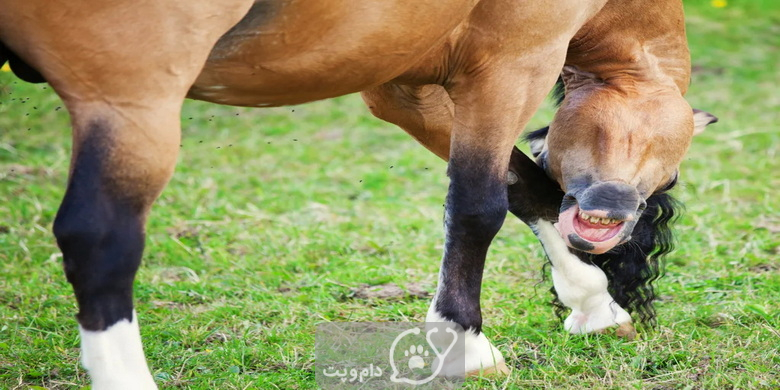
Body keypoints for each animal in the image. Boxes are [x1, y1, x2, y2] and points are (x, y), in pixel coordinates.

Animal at [0, 0, 716, 386]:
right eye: (668, 176)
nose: (610, 216)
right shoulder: (513, 63)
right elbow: (480, 206)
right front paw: (464, 344)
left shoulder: (403, 91)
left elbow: (525, 186)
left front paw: (594, 306)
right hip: (132, 99)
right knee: (100, 246)